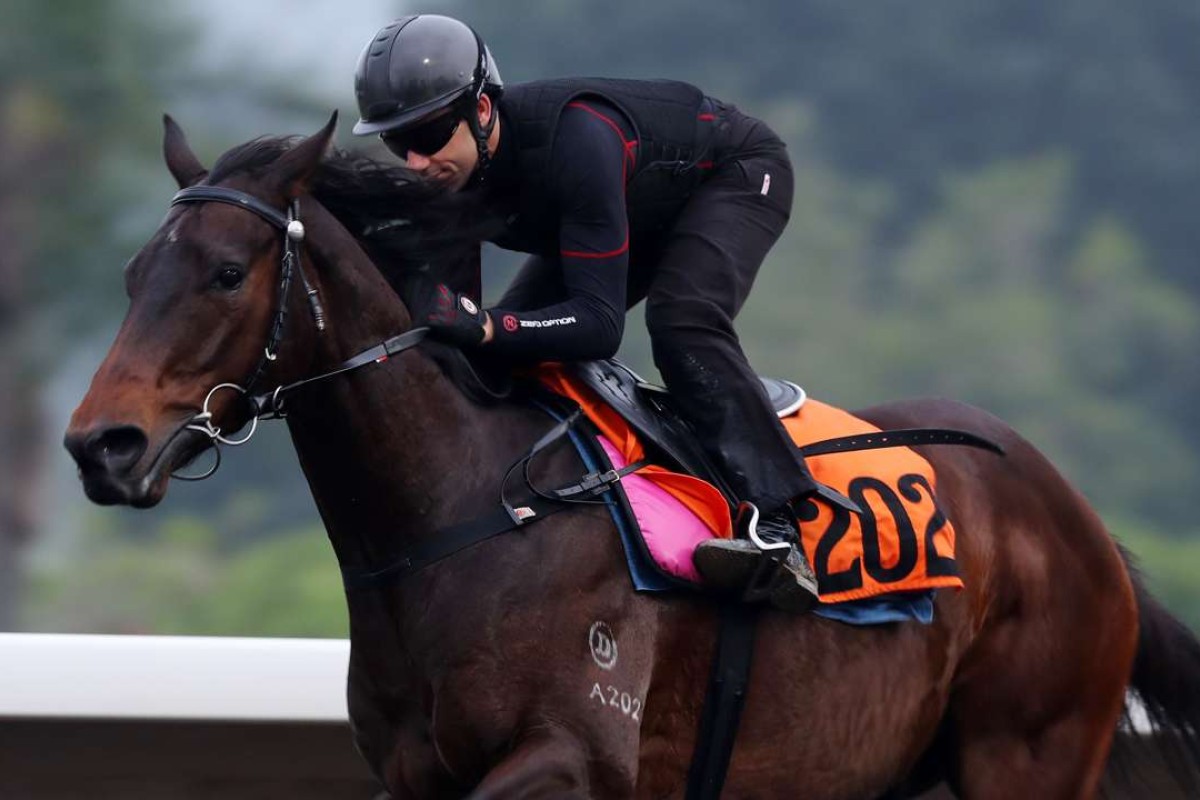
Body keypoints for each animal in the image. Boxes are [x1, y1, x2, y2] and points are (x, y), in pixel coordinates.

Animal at [63, 113, 1200, 800]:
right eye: (128, 274)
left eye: (224, 271)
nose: (98, 444)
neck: (465, 515)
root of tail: (1080, 519)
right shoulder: (409, 773)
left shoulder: (575, 761)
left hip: (1026, 752)